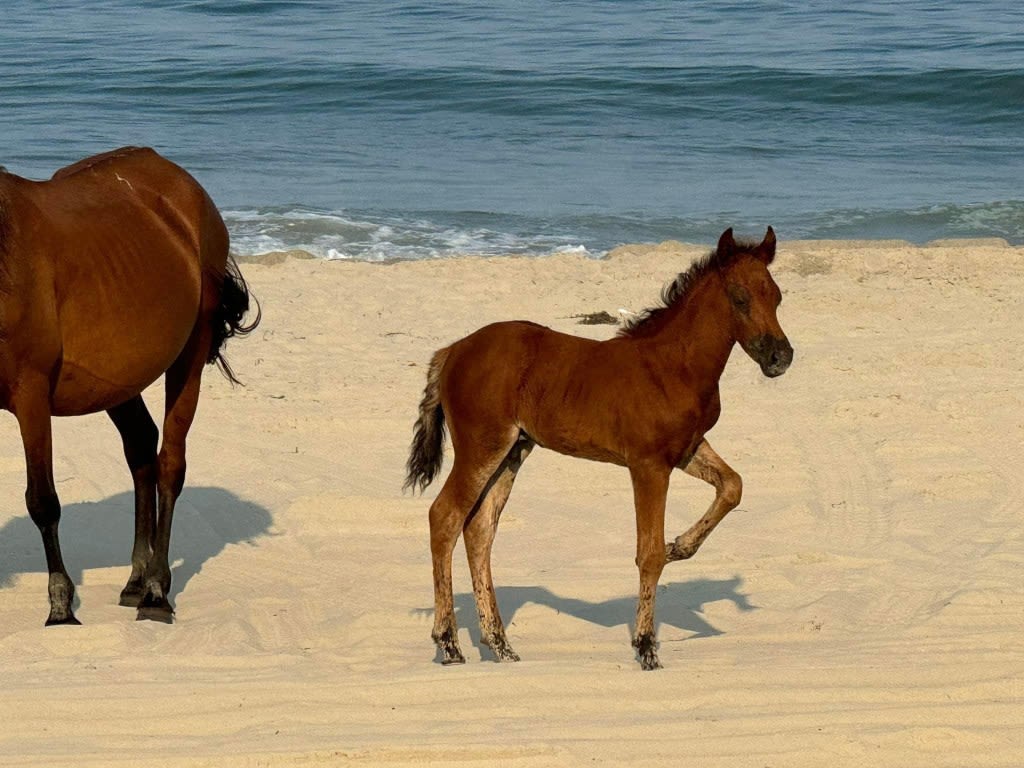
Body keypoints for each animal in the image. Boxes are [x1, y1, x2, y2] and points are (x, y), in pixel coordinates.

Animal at [1, 148, 256, 626]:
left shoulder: (31, 394)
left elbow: (42, 500)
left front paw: (60, 606)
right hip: (118, 383)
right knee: (141, 448)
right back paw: (137, 579)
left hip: (188, 360)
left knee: (170, 464)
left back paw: (156, 590)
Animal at [405, 225, 790, 671]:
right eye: (740, 297)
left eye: (777, 296)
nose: (781, 357)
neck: (673, 366)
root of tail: (452, 351)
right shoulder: (648, 465)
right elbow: (649, 552)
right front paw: (646, 646)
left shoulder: (687, 449)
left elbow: (733, 486)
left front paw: (680, 546)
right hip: (481, 446)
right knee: (445, 517)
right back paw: (449, 643)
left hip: (513, 451)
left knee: (479, 529)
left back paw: (500, 644)